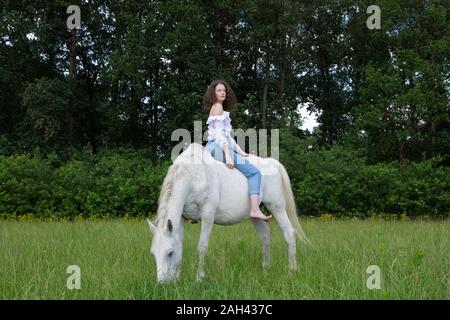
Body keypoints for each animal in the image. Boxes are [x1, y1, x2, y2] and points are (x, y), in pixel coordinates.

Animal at [147, 143, 310, 282]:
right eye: (153, 253)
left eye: (169, 253)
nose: (163, 283)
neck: (192, 176)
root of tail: (272, 162)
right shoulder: (181, 218)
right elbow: (180, 243)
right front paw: (178, 278)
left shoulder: (208, 215)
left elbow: (202, 246)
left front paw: (199, 278)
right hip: (255, 214)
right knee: (265, 236)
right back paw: (265, 270)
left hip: (277, 207)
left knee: (289, 233)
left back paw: (292, 270)